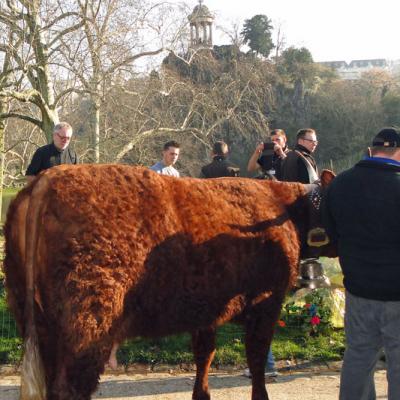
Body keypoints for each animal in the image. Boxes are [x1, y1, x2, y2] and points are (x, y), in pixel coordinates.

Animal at [3, 164, 334, 398]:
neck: (282, 204)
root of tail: (46, 179)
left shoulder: (207, 309)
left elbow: (205, 355)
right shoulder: (266, 303)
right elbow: (256, 359)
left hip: (37, 319)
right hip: (87, 322)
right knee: (69, 386)